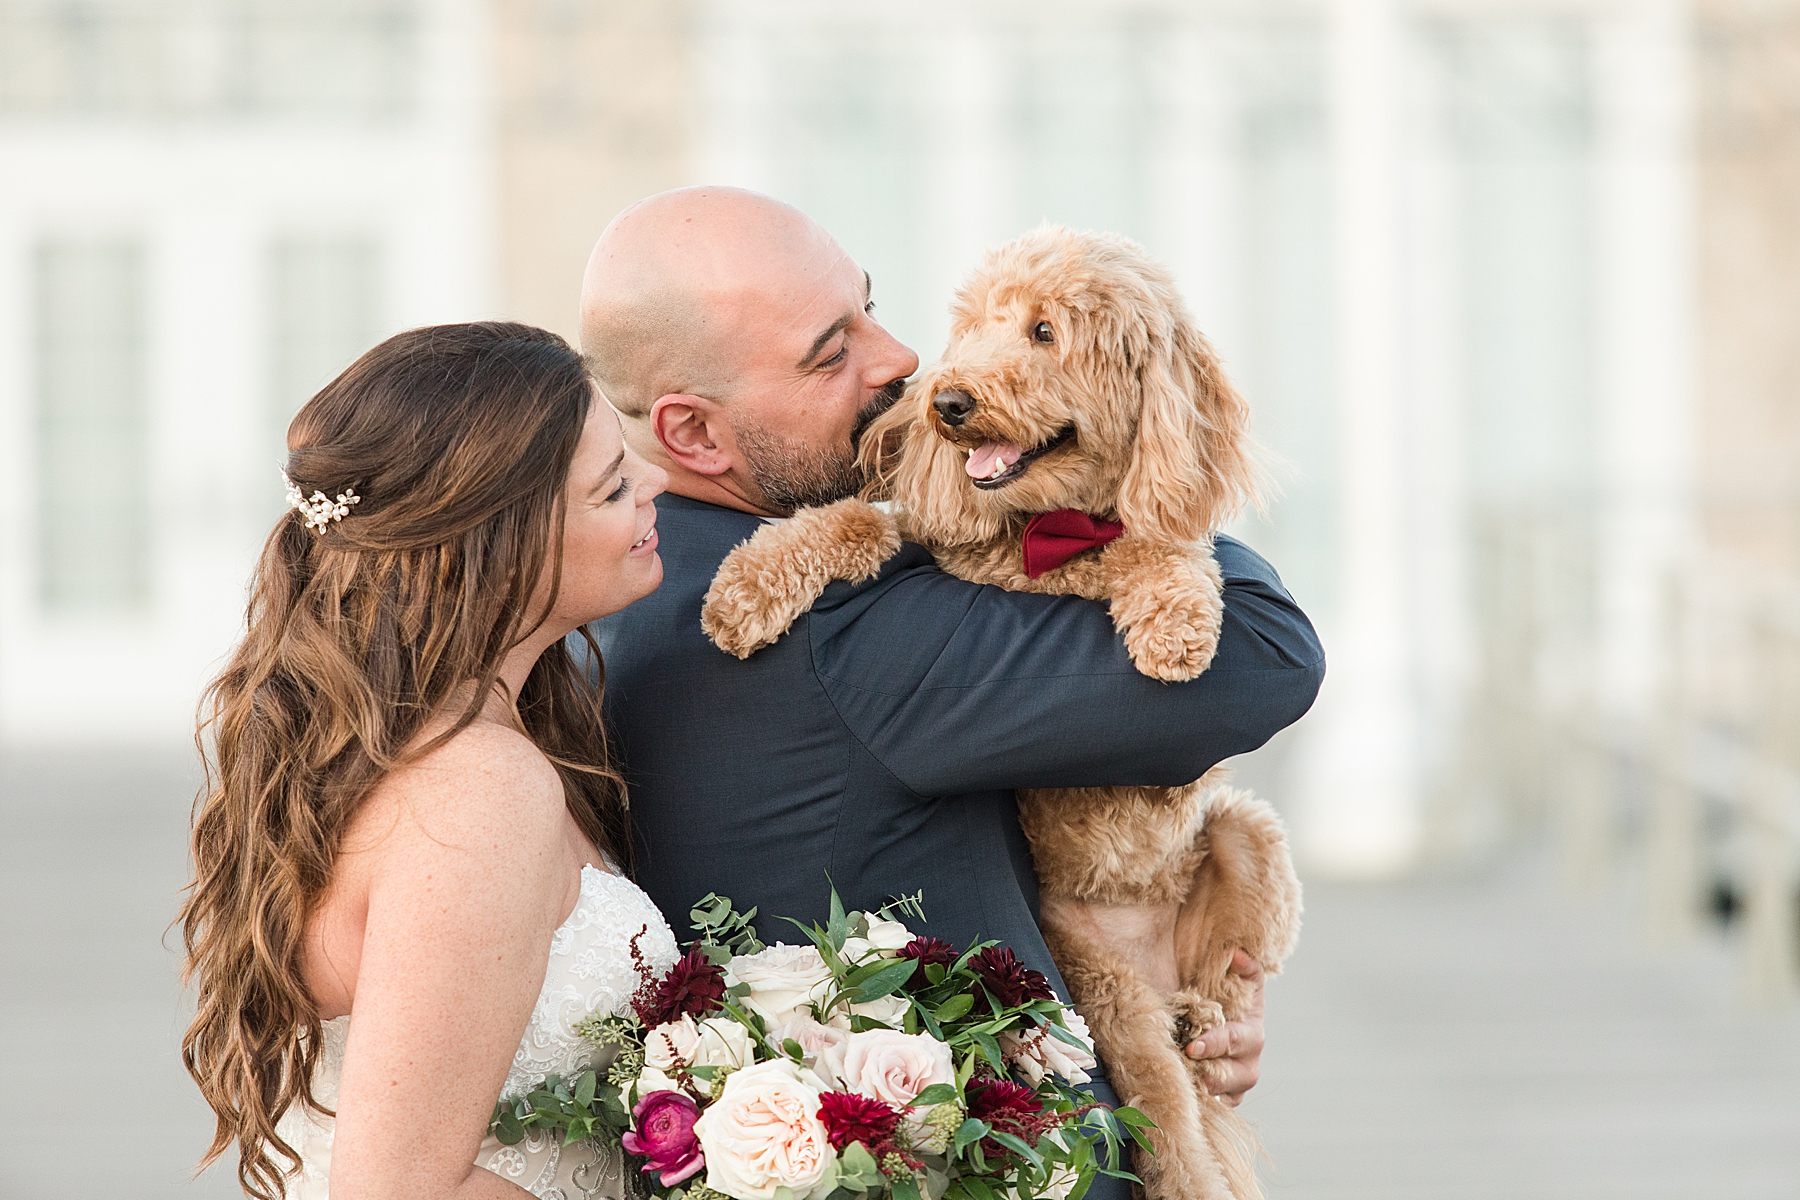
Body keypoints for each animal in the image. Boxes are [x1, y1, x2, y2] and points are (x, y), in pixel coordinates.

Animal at [694, 227, 1303, 1200]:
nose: (946, 402)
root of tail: (1154, 961)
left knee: (1211, 1050)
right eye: (974, 327)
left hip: (1245, 841)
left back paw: (1206, 1022)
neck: (1044, 533)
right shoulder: (935, 543)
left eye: (1046, 332)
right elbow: (858, 521)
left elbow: (1165, 548)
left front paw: (1174, 621)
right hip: (1107, 990)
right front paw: (747, 586)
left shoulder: (1130, 555)